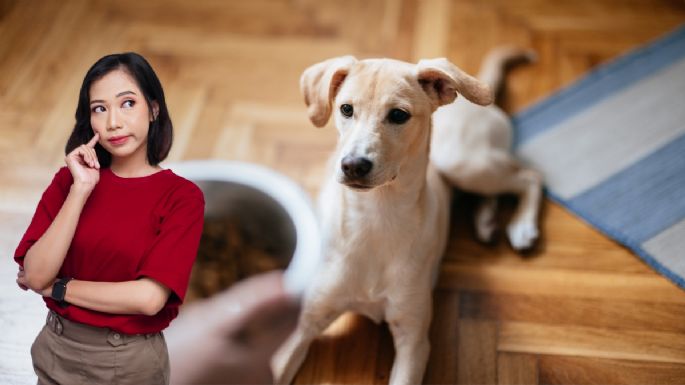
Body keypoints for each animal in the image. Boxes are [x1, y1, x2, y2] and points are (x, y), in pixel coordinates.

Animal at [272, 48, 540, 384]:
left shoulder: (413, 339)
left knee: (528, 177)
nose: (353, 165)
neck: (376, 217)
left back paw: (522, 227)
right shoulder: (304, 322)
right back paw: (487, 221)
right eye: (346, 109)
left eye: (399, 115)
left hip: (462, 163)